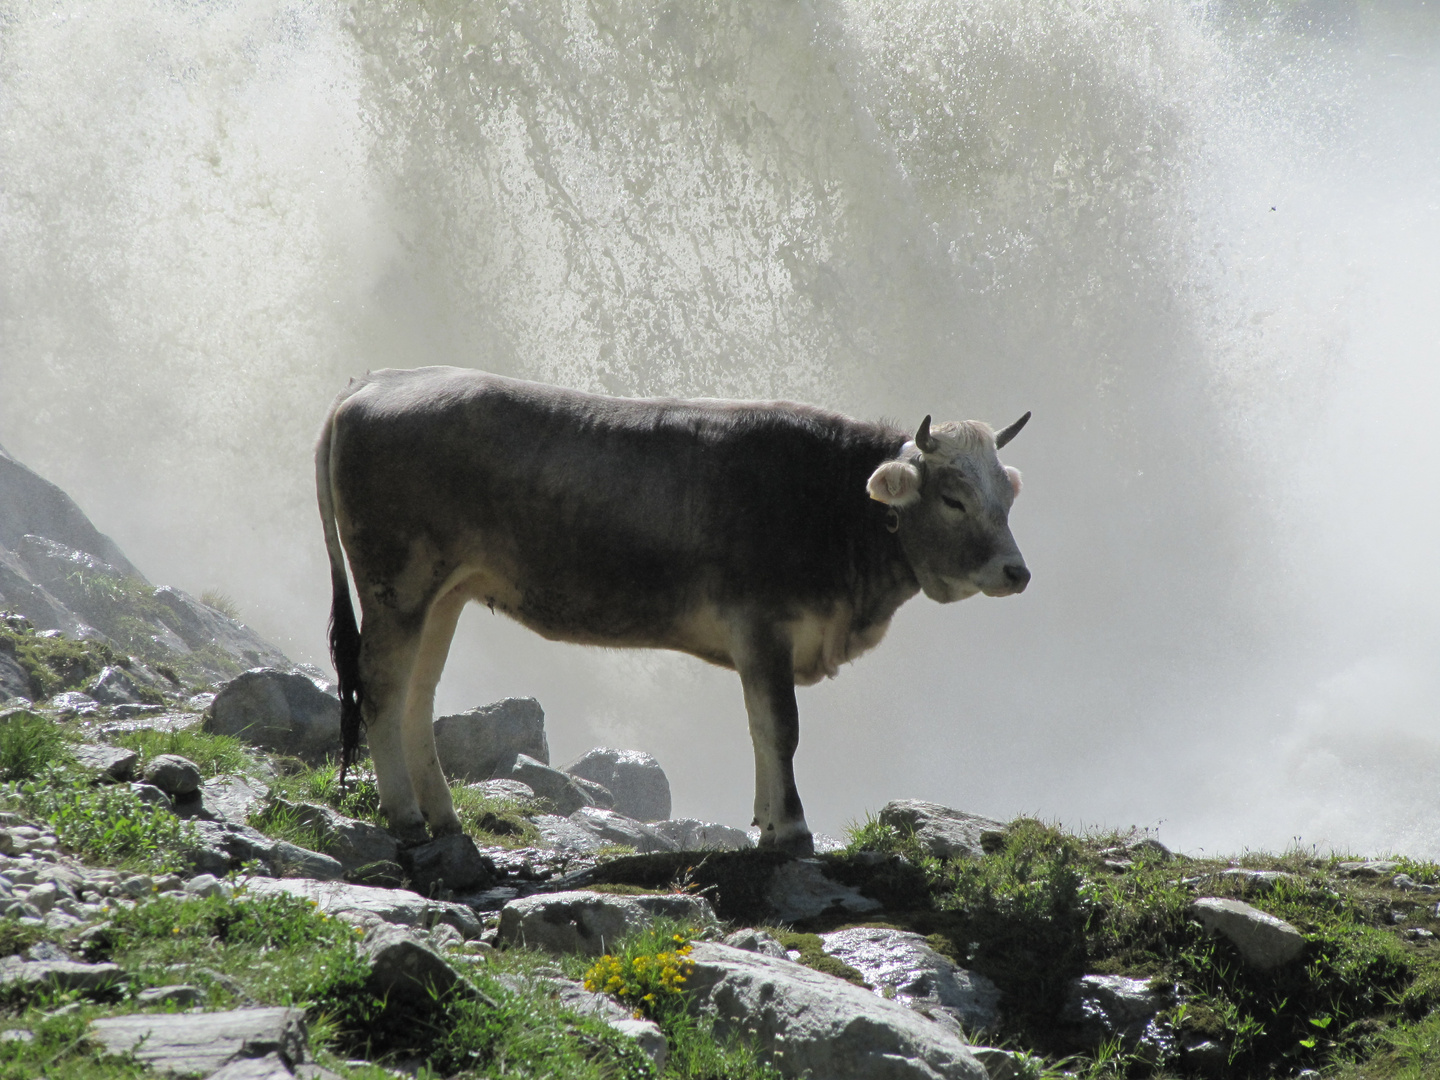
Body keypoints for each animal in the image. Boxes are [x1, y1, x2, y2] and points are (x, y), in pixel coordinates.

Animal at [318, 368, 1036, 858]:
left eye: (1005, 499)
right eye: (953, 499)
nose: (1017, 572)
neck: (833, 503)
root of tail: (381, 381)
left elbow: (758, 729)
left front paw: (766, 821)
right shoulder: (762, 626)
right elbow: (779, 728)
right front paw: (790, 830)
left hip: (443, 593)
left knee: (418, 695)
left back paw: (442, 815)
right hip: (396, 585)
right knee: (382, 690)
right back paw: (407, 817)